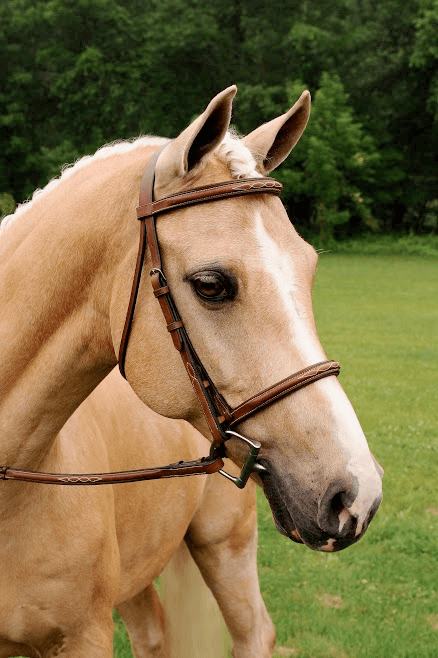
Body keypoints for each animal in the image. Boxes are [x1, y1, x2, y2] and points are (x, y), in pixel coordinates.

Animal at [0, 84, 382, 652]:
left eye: (310, 267)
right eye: (211, 284)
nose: (357, 492)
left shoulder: (84, 636)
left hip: (225, 545)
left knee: (254, 633)